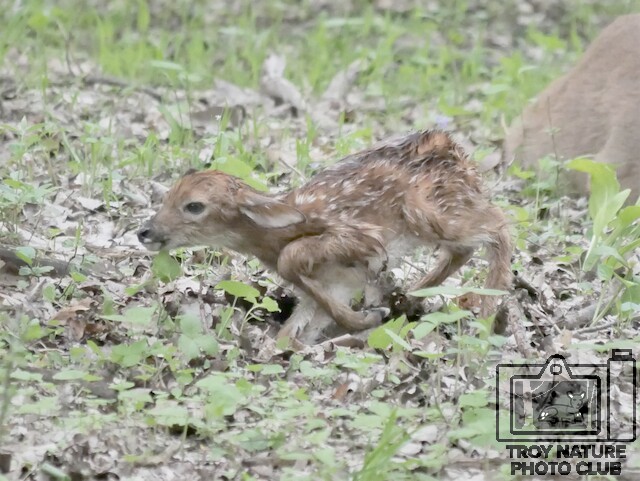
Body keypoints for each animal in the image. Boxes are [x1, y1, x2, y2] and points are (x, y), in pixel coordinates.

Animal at [137, 130, 513, 344]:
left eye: (194, 206)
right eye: (167, 196)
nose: (145, 231)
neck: (277, 234)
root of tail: (455, 150)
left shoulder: (359, 234)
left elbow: (292, 259)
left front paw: (371, 312)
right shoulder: (336, 284)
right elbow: (292, 331)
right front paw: (367, 316)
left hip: (430, 212)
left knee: (498, 223)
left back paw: (485, 315)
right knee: (465, 248)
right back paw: (408, 299)